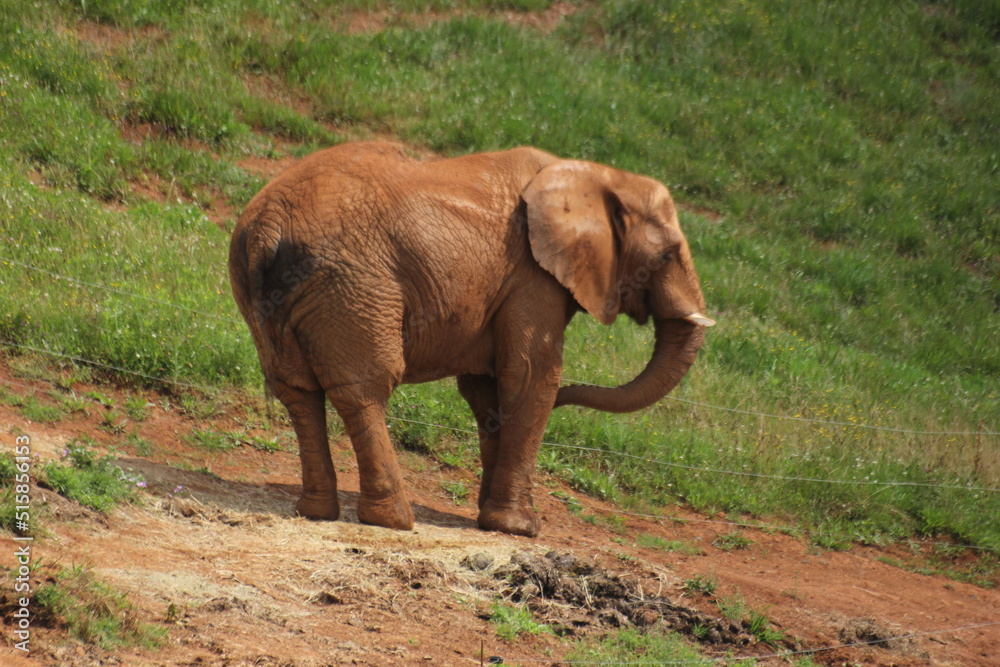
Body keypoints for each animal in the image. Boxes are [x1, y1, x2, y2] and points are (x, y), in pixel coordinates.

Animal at [229, 141, 714, 537]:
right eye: (667, 255)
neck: (597, 176)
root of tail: (269, 226)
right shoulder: (532, 276)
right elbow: (531, 377)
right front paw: (520, 528)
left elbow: (487, 389)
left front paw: (490, 519)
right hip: (353, 282)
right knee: (365, 387)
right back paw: (394, 520)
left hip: (265, 291)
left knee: (296, 389)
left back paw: (316, 512)